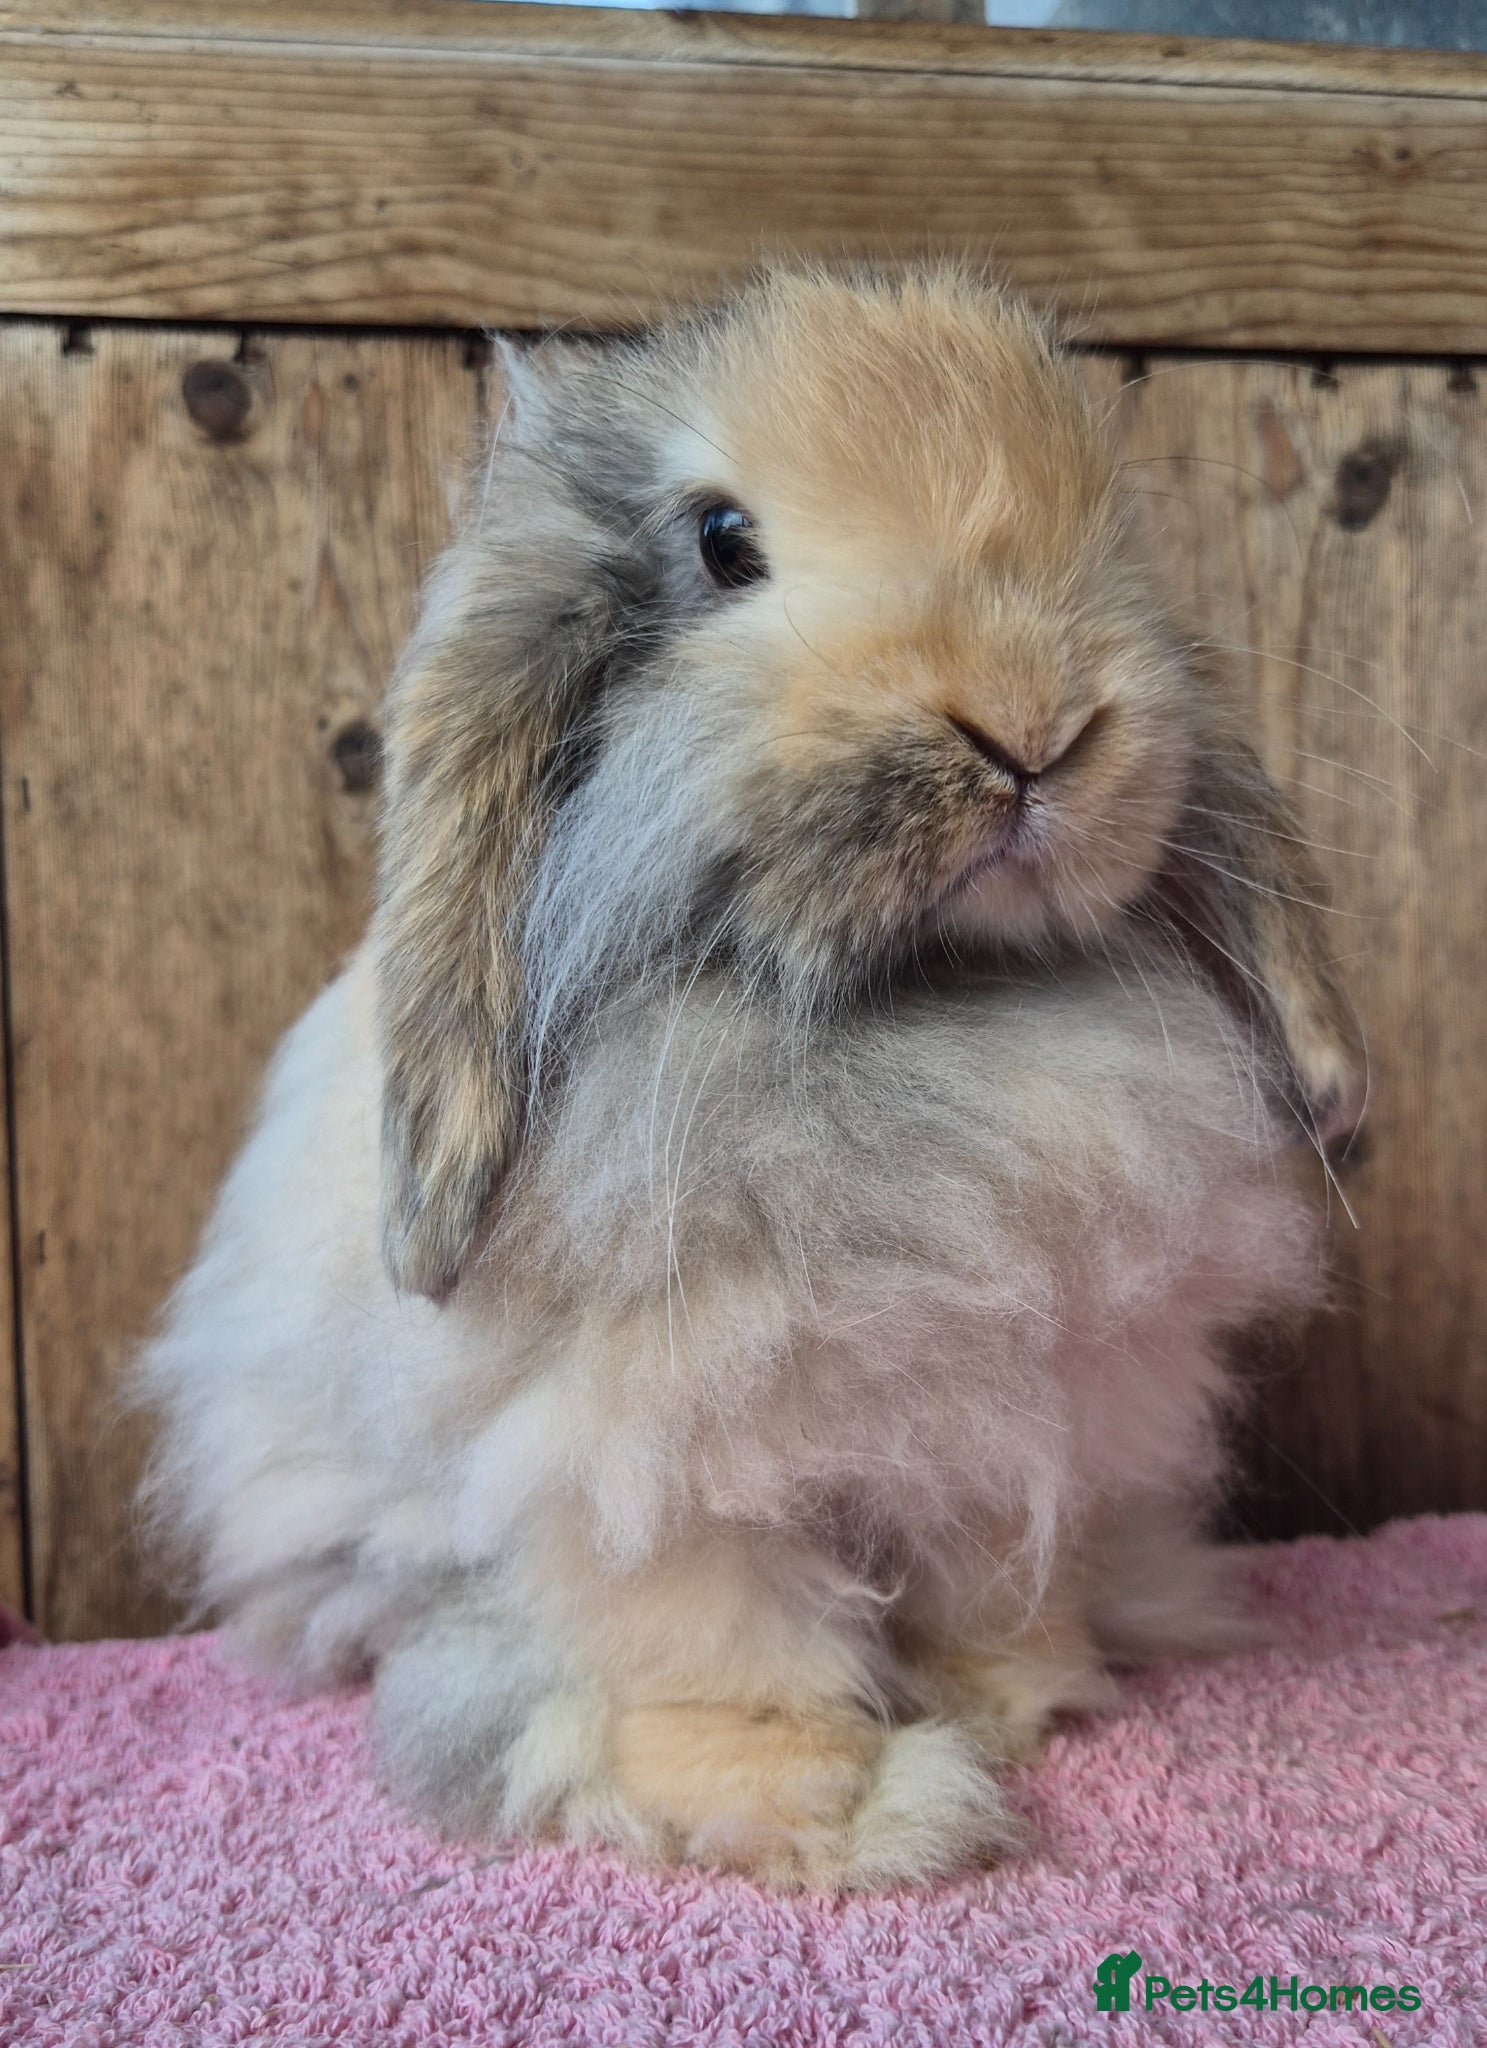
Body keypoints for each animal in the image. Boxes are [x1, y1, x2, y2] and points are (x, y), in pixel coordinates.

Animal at [139, 267, 1364, 1891]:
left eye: (1109, 527)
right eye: (723, 543)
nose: (1032, 727)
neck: (910, 1008)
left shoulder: (1008, 1416)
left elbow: (987, 1576)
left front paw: (1012, 1702)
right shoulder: (643, 1467)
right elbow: (719, 1642)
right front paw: (842, 1814)